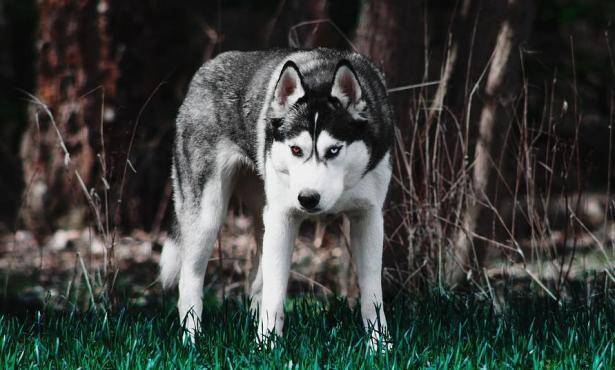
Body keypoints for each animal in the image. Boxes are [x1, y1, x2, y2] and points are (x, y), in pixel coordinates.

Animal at [160, 47, 394, 346]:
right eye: (296, 150)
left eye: (333, 150)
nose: (308, 198)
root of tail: (207, 67)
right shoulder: (284, 217)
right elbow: (275, 294)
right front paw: (267, 347)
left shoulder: (369, 217)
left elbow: (372, 292)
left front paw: (380, 346)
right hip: (208, 218)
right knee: (189, 281)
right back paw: (192, 341)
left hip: (262, 219)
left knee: (257, 280)